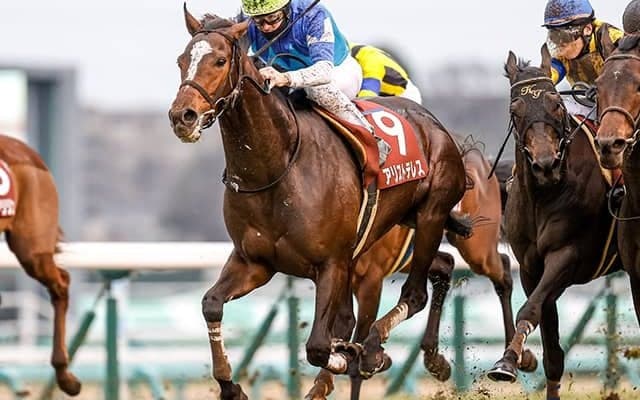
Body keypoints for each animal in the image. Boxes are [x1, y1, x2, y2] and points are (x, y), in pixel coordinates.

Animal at [168, 9, 467, 399]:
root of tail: (432, 122)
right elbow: (212, 305)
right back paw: (428, 357)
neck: (278, 168)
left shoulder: (332, 264)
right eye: (181, 60)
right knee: (442, 267)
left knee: (414, 295)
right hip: (405, 224)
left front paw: (352, 357)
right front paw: (231, 386)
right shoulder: (255, 262)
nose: (182, 116)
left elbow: (320, 346)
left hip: (432, 214)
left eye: (219, 60)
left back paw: (376, 349)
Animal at [305, 145, 537, 400]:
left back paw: (518, 356)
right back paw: (435, 359)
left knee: (502, 270)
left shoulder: (370, 282)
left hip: (477, 250)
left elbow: (357, 353)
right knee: (445, 265)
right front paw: (321, 385)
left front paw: (368, 361)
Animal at [486, 45, 624, 400]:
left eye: (556, 105)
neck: (545, 194)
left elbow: (529, 309)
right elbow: (552, 352)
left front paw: (508, 360)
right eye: (515, 110)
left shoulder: (566, 256)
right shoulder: (531, 266)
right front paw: (511, 362)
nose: (546, 164)